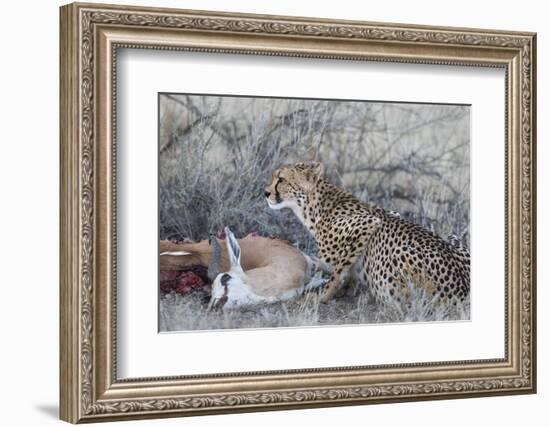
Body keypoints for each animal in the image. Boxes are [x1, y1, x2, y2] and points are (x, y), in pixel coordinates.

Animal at [266, 162, 472, 306]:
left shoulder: (368, 223)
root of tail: (461, 288)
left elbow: (337, 272)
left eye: (281, 179)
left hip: (401, 254)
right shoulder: (391, 213)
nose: (265, 192)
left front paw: (322, 296)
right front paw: (348, 287)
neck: (313, 206)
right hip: (453, 239)